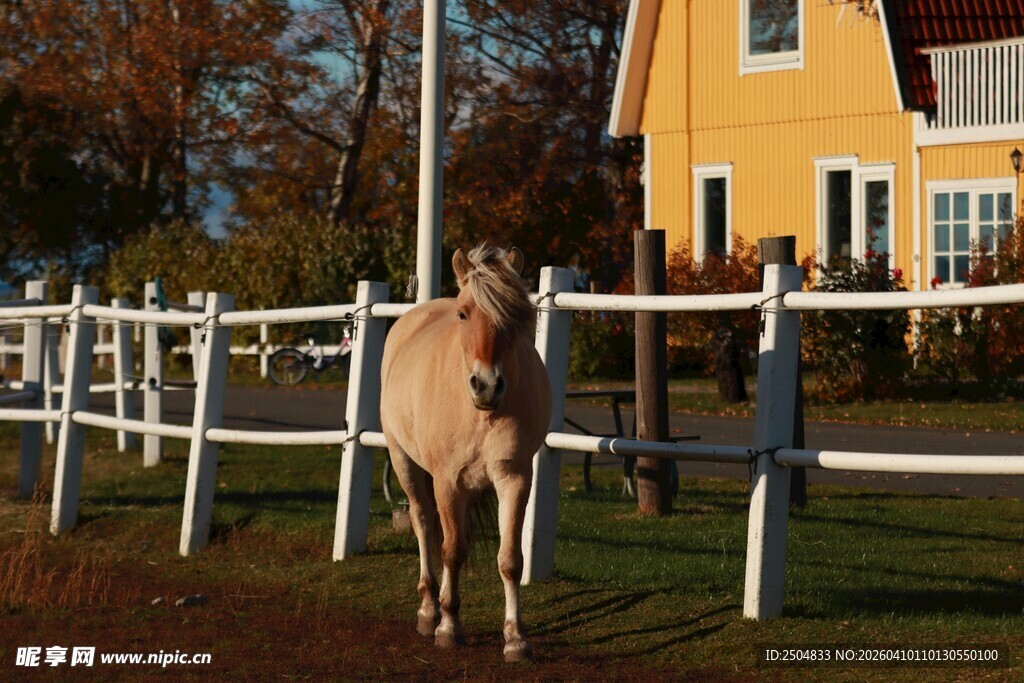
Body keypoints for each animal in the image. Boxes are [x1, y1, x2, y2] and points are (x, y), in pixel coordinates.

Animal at [380, 245, 551, 662]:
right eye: (463, 313)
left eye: (516, 316)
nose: (486, 385)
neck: (480, 414)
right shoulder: (447, 482)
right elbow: (451, 550)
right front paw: (448, 626)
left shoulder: (514, 478)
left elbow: (510, 559)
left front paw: (515, 638)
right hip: (404, 461)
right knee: (424, 523)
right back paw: (429, 609)